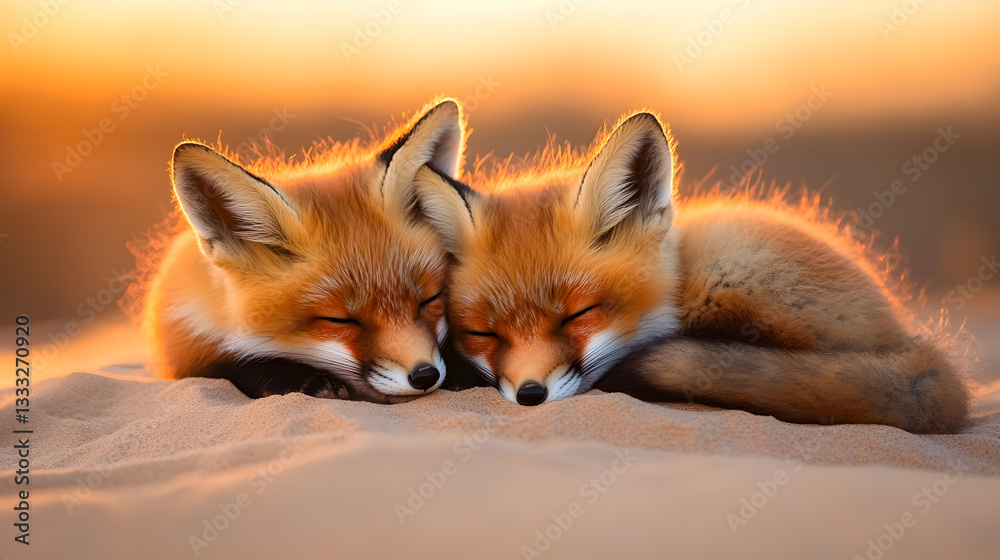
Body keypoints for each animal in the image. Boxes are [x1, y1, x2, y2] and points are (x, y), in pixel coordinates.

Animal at [142, 99, 466, 403]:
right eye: (339, 320)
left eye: (430, 299)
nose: (425, 375)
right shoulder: (185, 342)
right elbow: (235, 364)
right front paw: (305, 380)